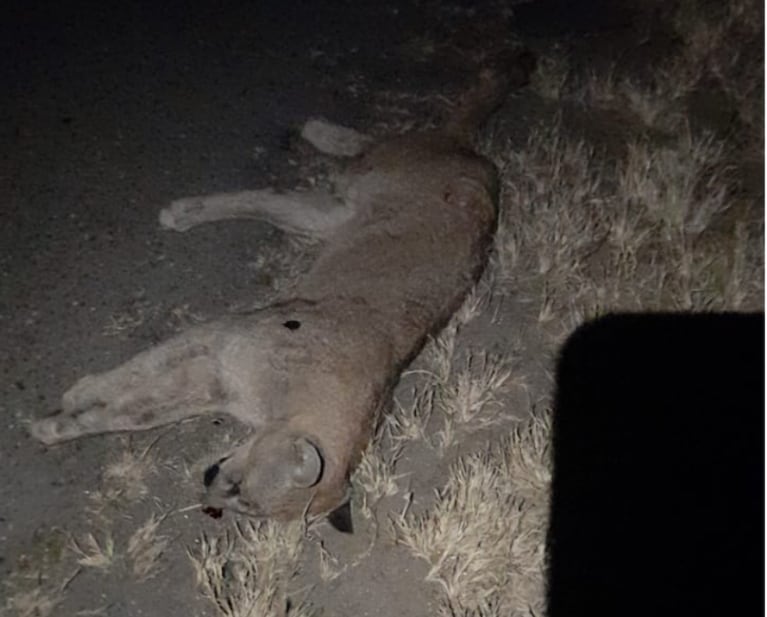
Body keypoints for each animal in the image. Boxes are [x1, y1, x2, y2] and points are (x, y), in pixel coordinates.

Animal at [30, 54, 536, 528]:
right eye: (239, 492)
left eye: (246, 508)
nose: (207, 491)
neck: (290, 406)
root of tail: (470, 152)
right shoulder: (223, 339)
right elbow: (135, 378)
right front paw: (76, 399)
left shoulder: (216, 376)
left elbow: (139, 410)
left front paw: (61, 423)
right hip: (346, 200)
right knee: (356, 154)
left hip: (328, 217)